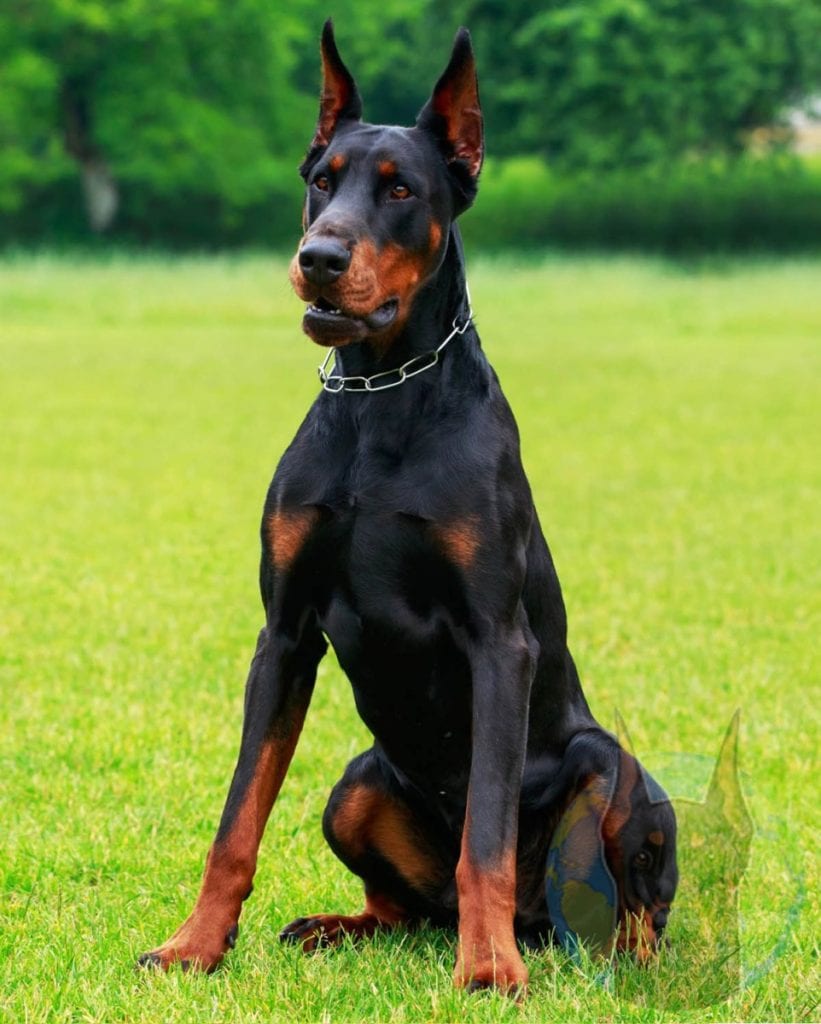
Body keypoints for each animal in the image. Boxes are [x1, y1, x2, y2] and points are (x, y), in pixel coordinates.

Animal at [139, 22, 679, 999]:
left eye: (399, 191)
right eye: (322, 179)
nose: (319, 258)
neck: (382, 401)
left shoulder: (497, 641)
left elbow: (486, 837)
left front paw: (487, 968)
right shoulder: (284, 634)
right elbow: (237, 821)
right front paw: (193, 945)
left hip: (611, 770)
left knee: (626, 905)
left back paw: (603, 957)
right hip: (354, 785)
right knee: (404, 907)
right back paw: (337, 926)